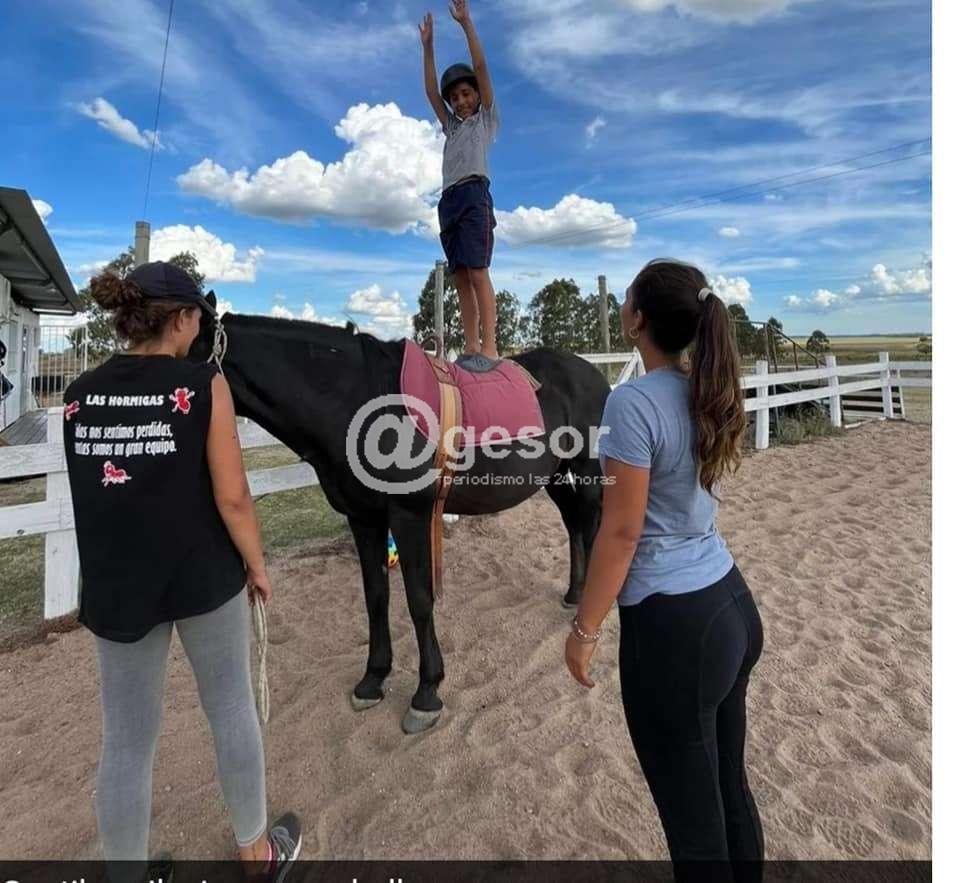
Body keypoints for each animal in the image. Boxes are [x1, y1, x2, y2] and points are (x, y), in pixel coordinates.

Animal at [191, 300, 610, 733]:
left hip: (587, 470)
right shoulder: (363, 518)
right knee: (575, 523)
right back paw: (574, 594)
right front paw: (373, 678)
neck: (357, 398)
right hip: (556, 475)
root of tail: (593, 373)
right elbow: (376, 596)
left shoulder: (409, 516)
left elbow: (419, 600)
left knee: (594, 527)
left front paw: (426, 692)